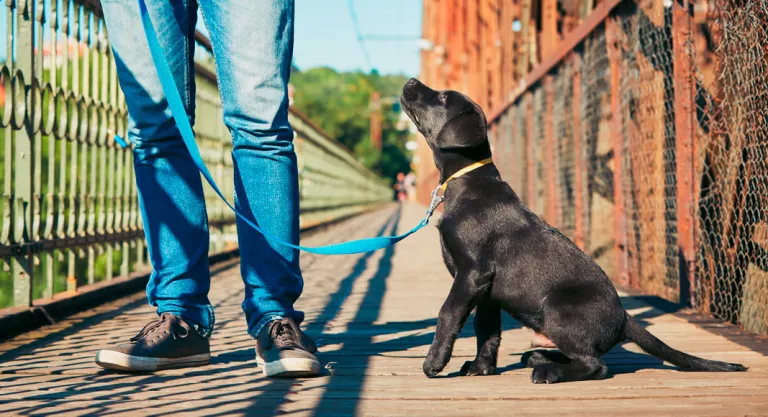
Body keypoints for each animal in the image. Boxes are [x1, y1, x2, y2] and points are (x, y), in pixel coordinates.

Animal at [400, 78, 748, 384]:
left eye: (443, 97)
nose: (411, 81)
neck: (465, 182)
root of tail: (625, 318)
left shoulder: (472, 273)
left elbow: (448, 314)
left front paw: (434, 362)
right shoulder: (486, 289)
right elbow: (486, 329)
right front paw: (481, 368)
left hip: (557, 307)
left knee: (596, 365)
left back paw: (549, 371)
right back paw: (539, 357)